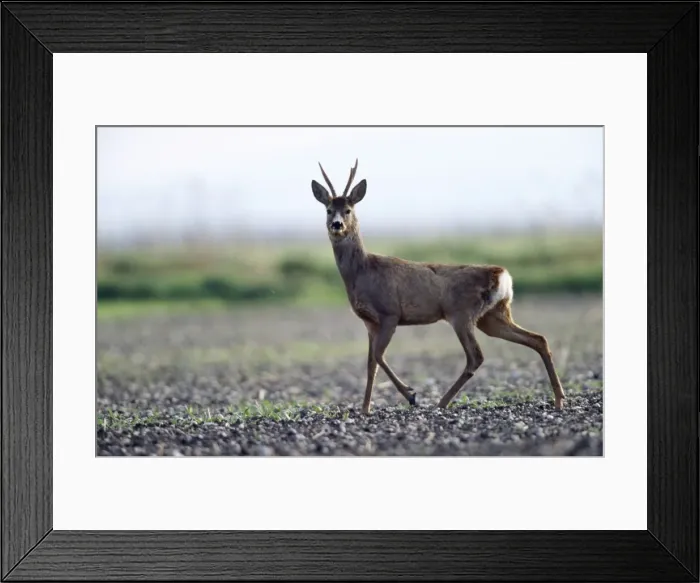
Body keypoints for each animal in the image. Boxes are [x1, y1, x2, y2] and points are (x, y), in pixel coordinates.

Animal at [311, 159, 566, 416]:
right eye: (328, 209)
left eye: (348, 210)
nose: (336, 224)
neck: (362, 271)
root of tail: (503, 275)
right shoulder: (369, 322)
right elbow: (370, 363)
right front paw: (365, 408)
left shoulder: (390, 313)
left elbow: (379, 356)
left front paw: (411, 395)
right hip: (493, 316)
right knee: (538, 339)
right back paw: (559, 399)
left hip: (462, 313)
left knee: (476, 356)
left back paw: (441, 402)